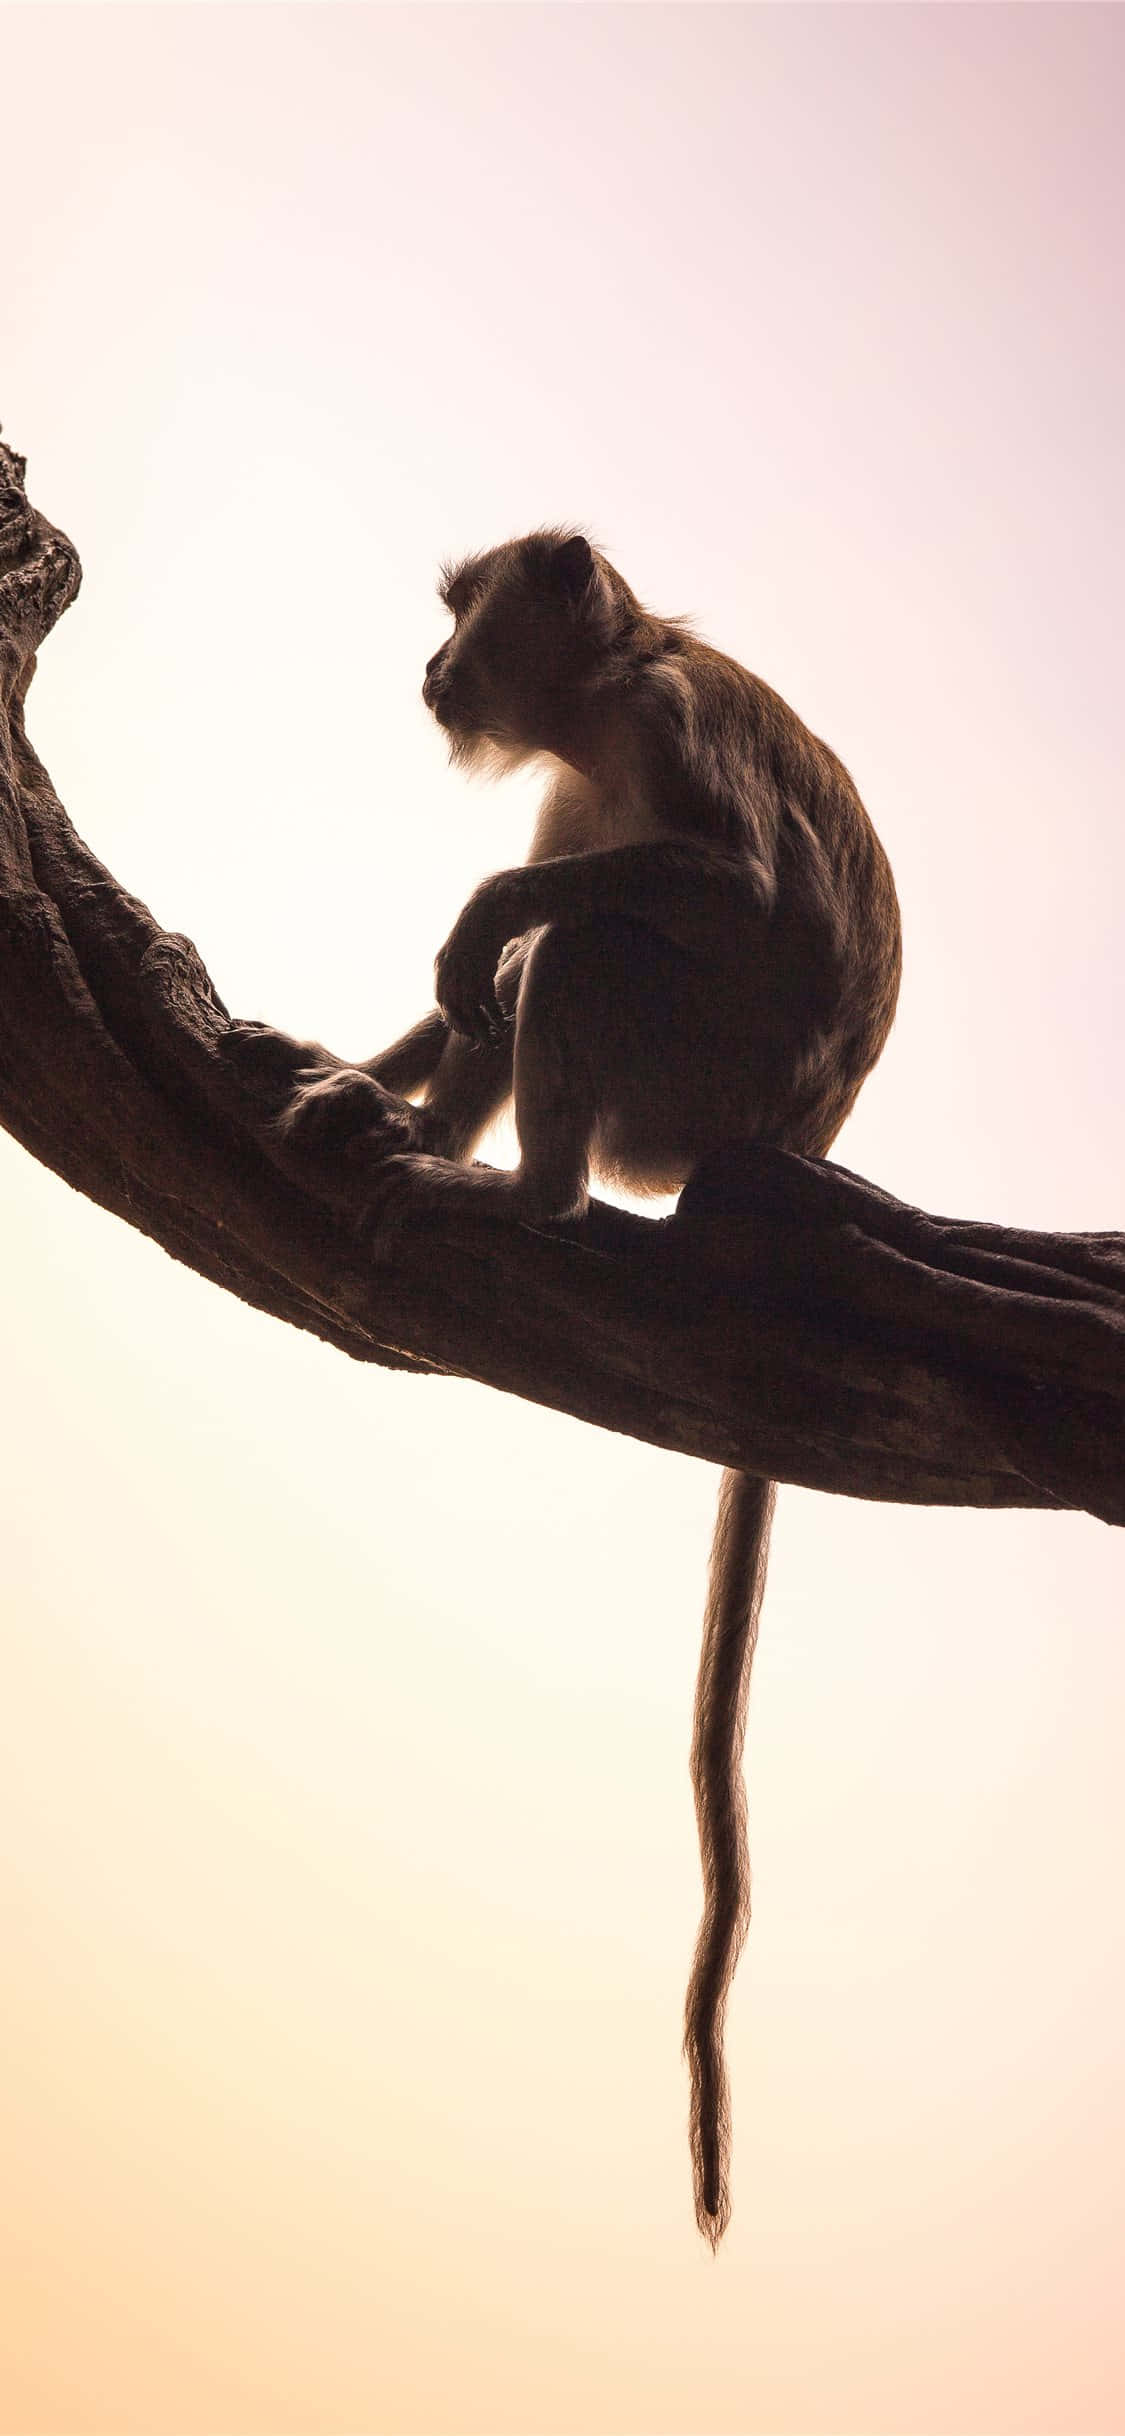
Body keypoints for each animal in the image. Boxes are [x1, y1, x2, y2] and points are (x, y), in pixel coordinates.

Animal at [272, 529, 902, 2244]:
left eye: (458, 613)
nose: (428, 670)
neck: (605, 704)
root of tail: (794, 1148)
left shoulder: (668, 727)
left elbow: (716, 888)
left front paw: (480, 922)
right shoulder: (573, 778)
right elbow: (485, 960)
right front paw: (367, 1072)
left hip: (687, 1099)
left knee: (588, 948)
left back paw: (519, 1189)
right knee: (539, 971)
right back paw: (414, 1128)